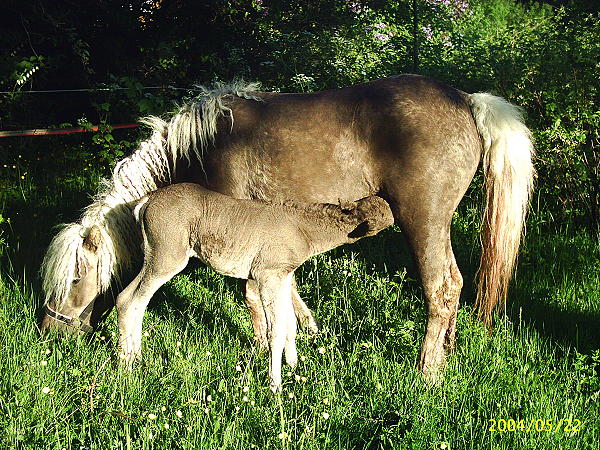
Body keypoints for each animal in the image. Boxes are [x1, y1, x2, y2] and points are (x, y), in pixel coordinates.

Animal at [117, 183, 394, 390]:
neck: (303, 231)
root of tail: (146, 201)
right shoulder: (267, 273)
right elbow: (276, 330)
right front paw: (275, 385)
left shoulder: (284, 274)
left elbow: (290, 323)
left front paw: (294, 367)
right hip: (167, 254)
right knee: (131, 300)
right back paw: (127, 363)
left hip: (155, 254)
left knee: (128, 298)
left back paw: (135, 357)